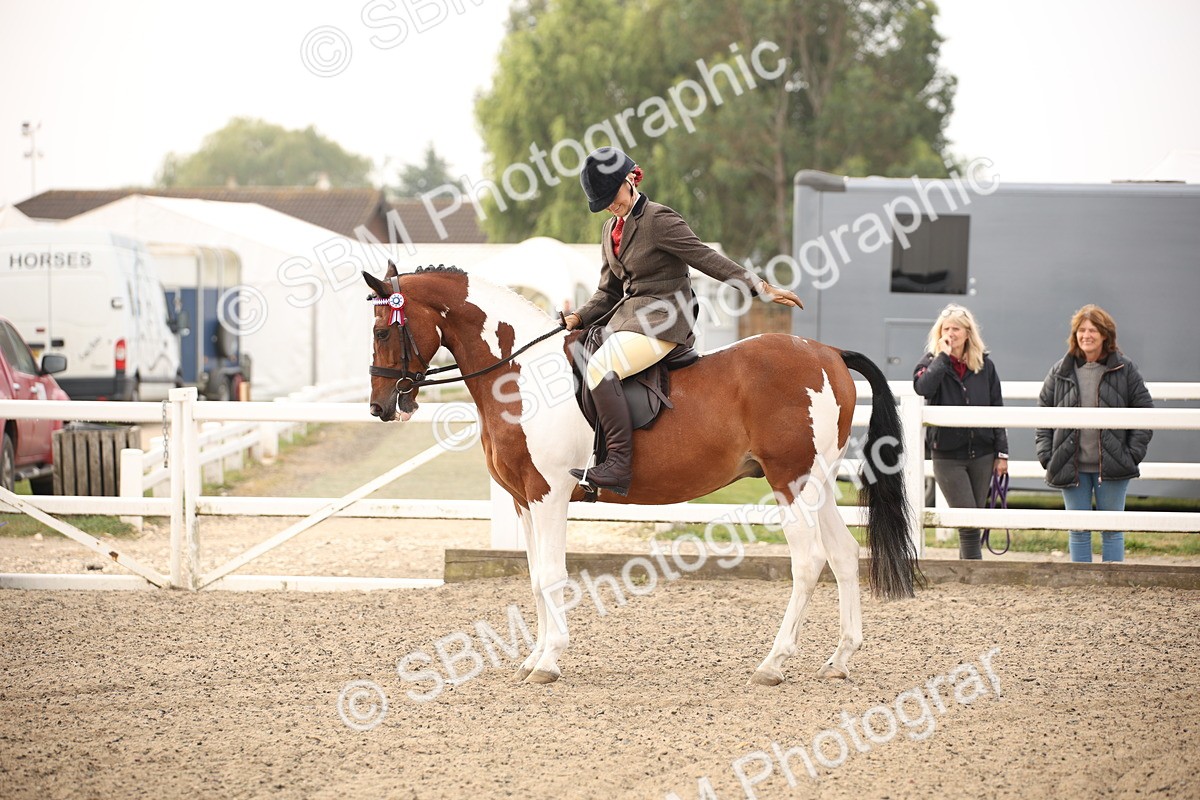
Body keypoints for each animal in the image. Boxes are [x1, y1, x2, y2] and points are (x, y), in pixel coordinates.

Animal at [363, 263, 919, 686]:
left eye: (382, 330)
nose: (380, 407)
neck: (519, 375)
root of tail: (827, 353)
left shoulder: (549, 495)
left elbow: (551, 575)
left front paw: (549, 662)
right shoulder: (523, 500)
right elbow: (535, 579)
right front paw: (534, 657)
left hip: (790, 484)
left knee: (808, 562)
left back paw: (773, 664)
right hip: (817, 484)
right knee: (843, 556)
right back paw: (840, 659)